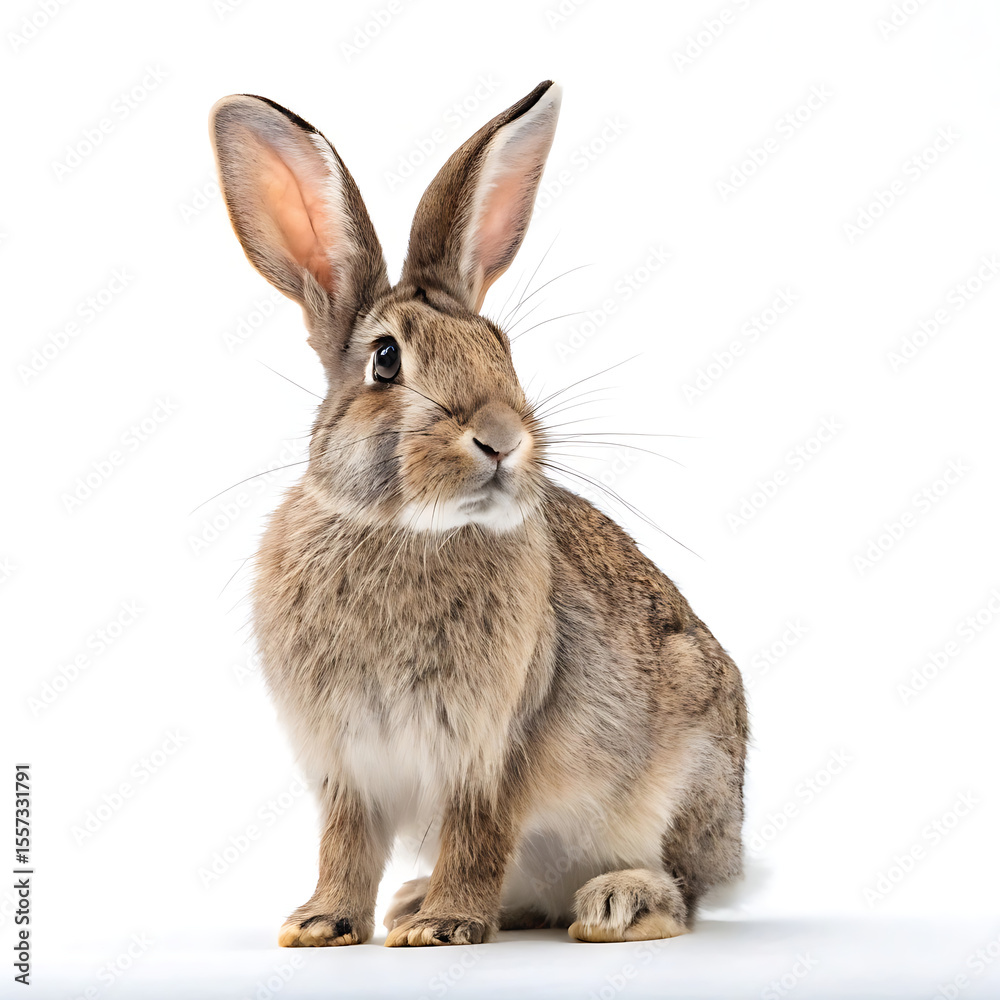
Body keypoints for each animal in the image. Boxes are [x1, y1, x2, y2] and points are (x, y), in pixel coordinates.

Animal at [209, 79, 748, 948]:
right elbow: (345, 844)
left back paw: (616, 902)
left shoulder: (494, 748)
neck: (405, 532)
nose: (501, 438)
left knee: (683, 889)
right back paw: (417, 898)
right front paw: (323, 924)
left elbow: (478, 834)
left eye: (502, 350)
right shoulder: (347, 764)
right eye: (385, 360)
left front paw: (444, 928)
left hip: (687, 778)